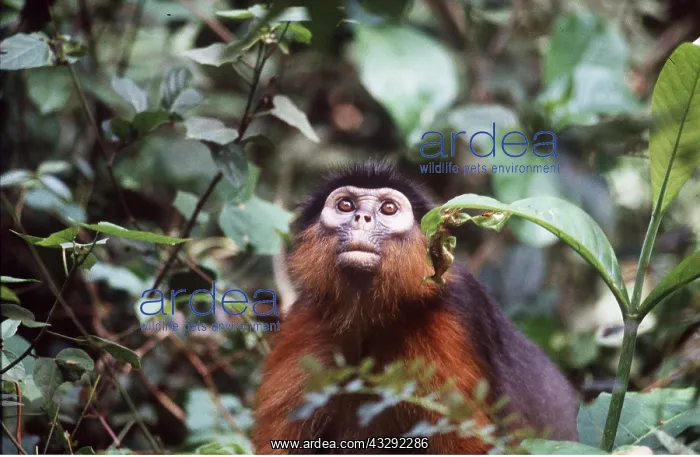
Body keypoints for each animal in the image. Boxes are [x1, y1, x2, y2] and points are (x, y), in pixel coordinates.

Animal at [253, 162, 579, 454]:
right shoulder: (307, 318)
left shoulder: (454, 314)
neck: (373, 316)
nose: (361, 217)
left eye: (387, 209)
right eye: (345, 205)